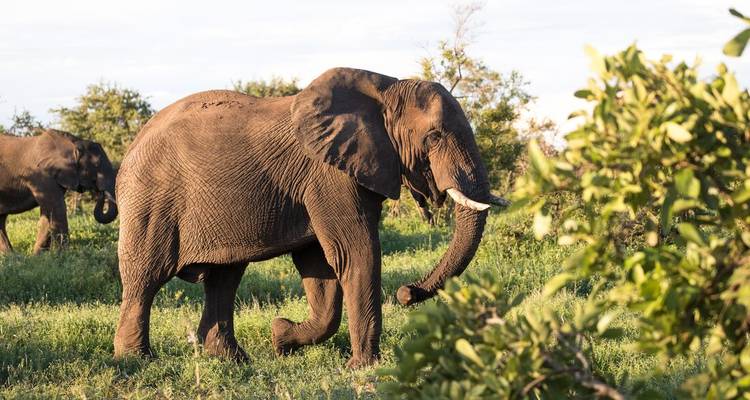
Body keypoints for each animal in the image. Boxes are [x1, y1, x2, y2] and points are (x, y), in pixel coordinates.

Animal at [113, 67, 507, 368]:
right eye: (434, 136)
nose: (407, 293)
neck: (385, 89)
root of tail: (133, 142)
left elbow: (320, 266)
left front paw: (281, 337)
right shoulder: (329, 175)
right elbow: (356, 253)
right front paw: (364, 368)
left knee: (224, 278)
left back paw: (233, 360)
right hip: (150, 200)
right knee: (145, 277)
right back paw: (137, 360)